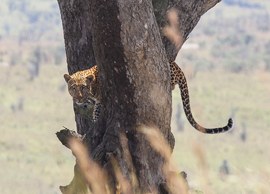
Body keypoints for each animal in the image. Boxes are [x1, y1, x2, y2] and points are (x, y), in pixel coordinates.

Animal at [63, 62, 232, 133]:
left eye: (83, 87)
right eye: (73, 88)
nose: (78, 98)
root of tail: (178, 67)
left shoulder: (102, 99)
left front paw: (95, 120)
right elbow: (95, 110)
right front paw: (93, 118)